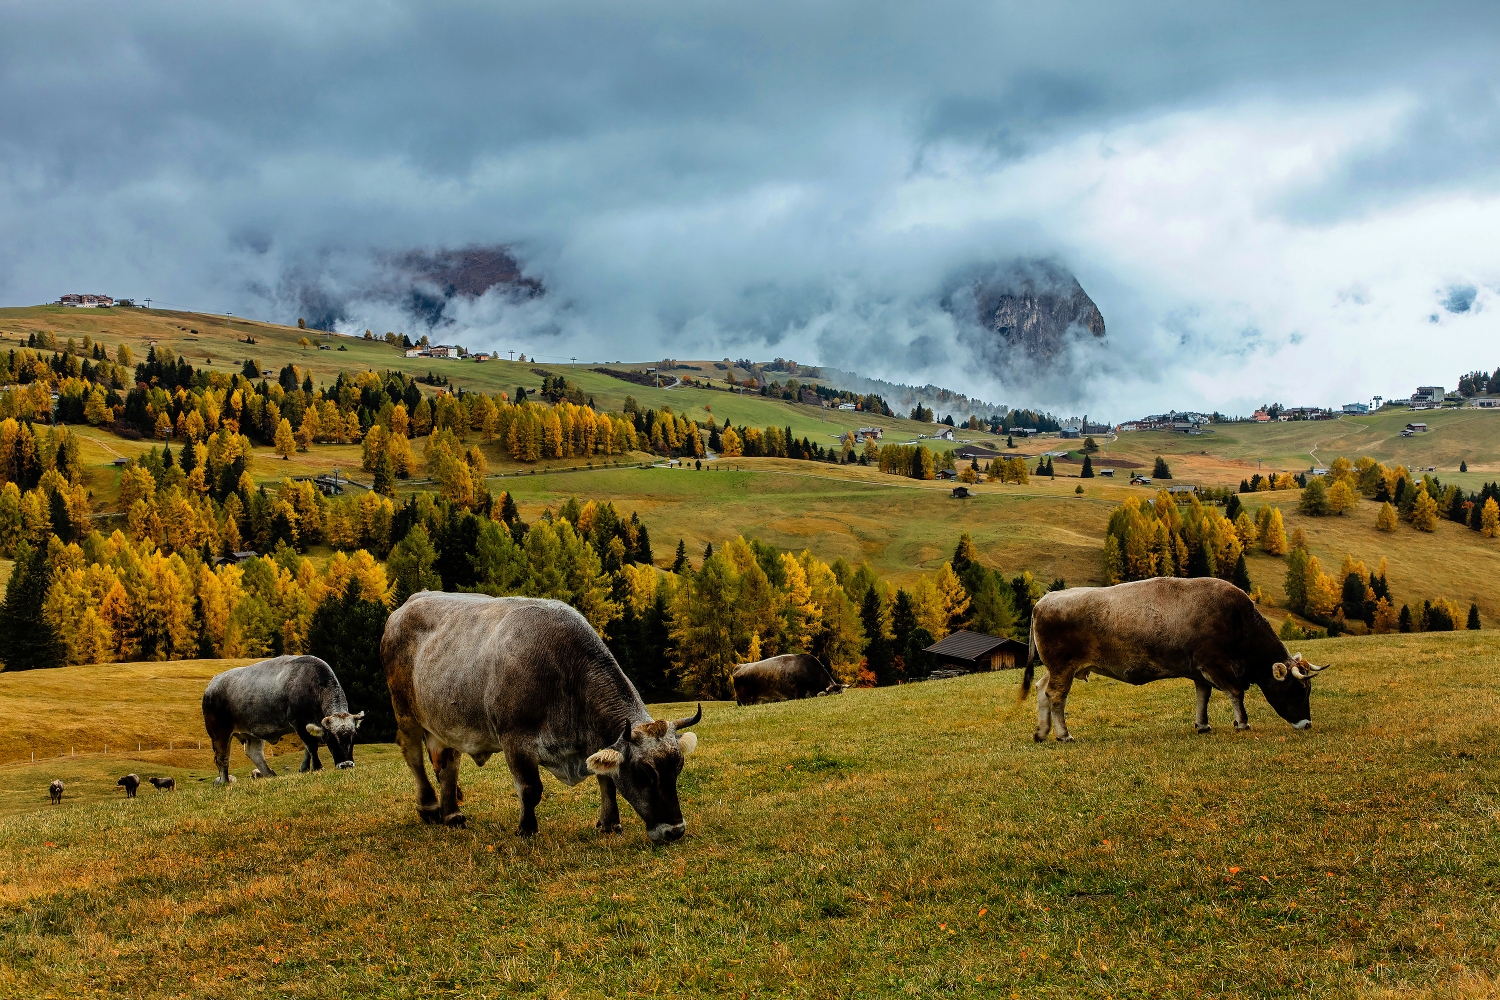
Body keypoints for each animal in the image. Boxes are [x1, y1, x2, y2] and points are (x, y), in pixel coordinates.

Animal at [202, 656, 366, 791]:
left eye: (354, 737)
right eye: (331, 739)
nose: (346, 765)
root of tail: (212, 684)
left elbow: (307, 748)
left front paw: (304, 768)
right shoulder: (299, 722)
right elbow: (311, 746)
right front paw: (318, 768)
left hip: (252, 733)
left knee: (255, 754)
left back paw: (271, 775)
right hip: (219, 733)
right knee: (222, 758)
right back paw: (224, 782)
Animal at [378, 593, 699, 845]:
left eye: (678, 769)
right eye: (644, 773)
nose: (675, 831)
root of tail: (407, 605)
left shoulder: (596, 742)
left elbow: (607, 781)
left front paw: (610, 824)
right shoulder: (515, 739)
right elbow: (531, 789)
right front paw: (526, 828)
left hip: (447, 722)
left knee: (447, 762)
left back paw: (452, 813)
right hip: (404, 711)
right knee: (413, 756)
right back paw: (430, 807)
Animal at [1026, 578, 1332, 743]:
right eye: (1296, 689)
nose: (1307, 724)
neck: (1238, 620)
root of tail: (1044, 600)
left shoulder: (1199, 671)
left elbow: (1203, 696)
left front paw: (1203, 725)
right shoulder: (1216, 664)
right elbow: (1236, 692)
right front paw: (1242, 723)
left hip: (1056, 668)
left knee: (1042, 689)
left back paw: (1042, 732)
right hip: (1063, 667)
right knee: (1056, 696)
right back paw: (1063, 734)